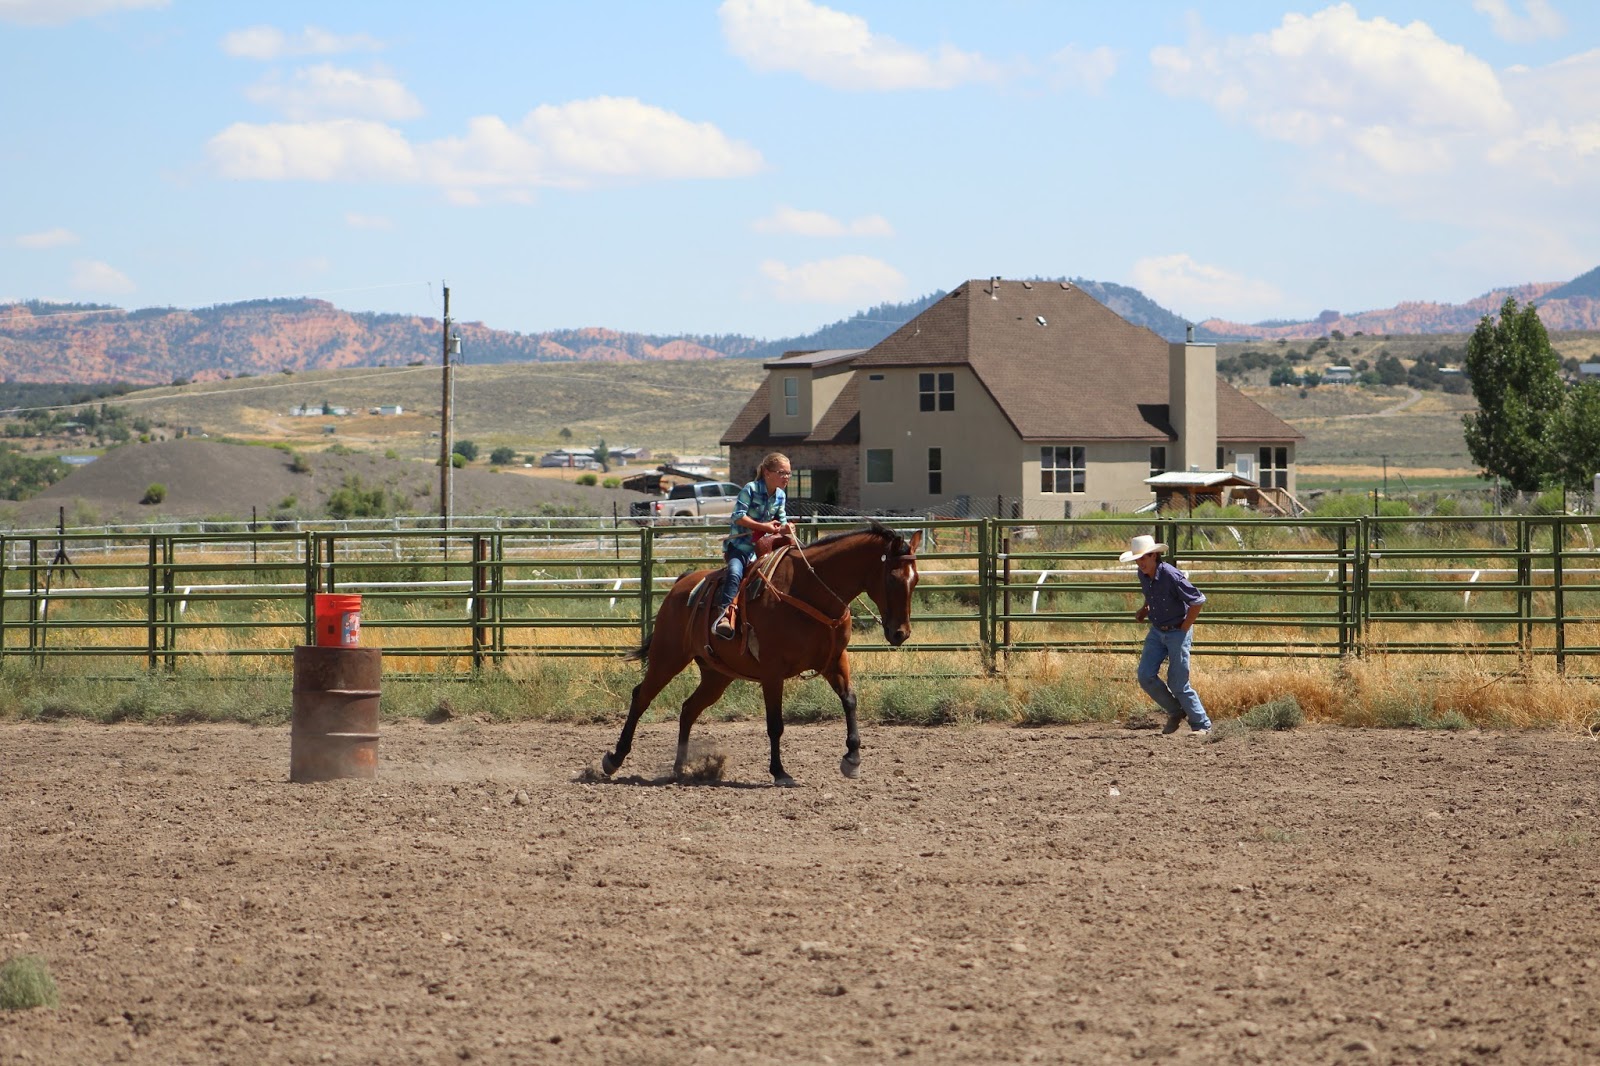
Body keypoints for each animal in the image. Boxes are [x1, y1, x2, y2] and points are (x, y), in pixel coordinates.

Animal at [600, 520, 922, 787]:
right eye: (892, 579)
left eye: (916, 579)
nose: (900, 633)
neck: (808, 590)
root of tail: (682, 584)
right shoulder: (772, 671)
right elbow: (775, 723)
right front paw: (780, 772)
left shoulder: (835, 660)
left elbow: (850, 701)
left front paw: (852, 760)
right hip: (668, 658)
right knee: (642, 697)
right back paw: (614, 759)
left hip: (716, 675)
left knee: (689, 709)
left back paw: (680, 768)